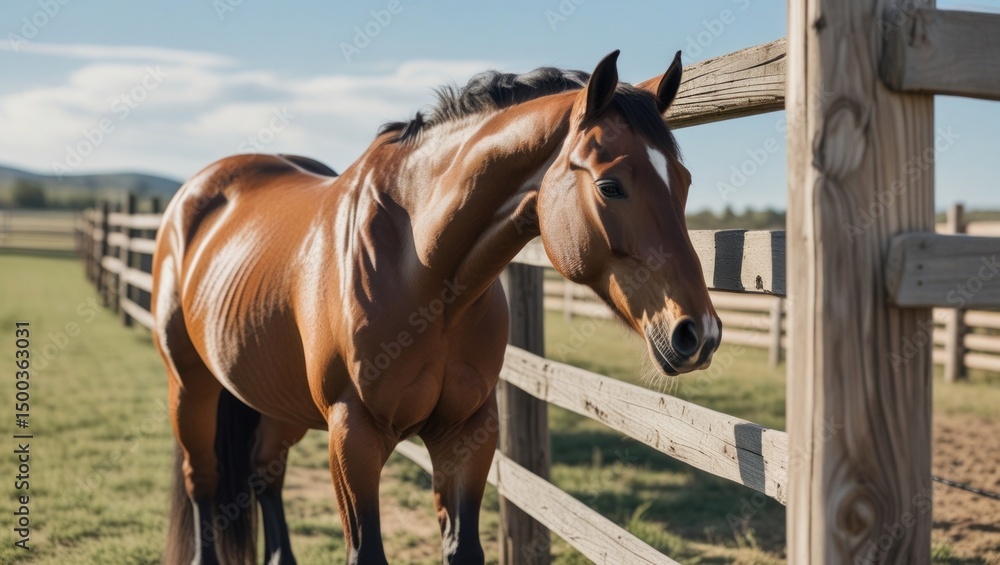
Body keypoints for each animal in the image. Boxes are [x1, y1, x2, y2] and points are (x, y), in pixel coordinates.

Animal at [152, 49, 721, 565]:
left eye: (685, 181)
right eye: (610, 185)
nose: (699, 333)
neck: (422, 272)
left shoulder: (466, 433)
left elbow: (463, 548)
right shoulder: (352, 435)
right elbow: (366, 552)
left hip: (277, 402)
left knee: (264, 474)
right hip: (190, 385)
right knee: (203, 480)